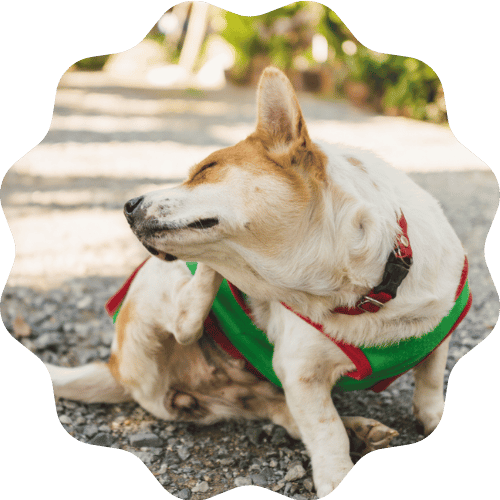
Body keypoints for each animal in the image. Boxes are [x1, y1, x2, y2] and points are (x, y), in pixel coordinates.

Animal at [45, 66, 470, 496]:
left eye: (206, 170)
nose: (128, 206)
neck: (365, 289)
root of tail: (115, 366)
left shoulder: (437, 332)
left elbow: (430, 381)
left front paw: (432, 418)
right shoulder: (300, 372)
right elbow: (327, 431)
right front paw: (336, 476)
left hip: (253, 391)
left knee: (282, 412)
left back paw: (361, 430)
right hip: (156, 288)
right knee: (186, 320)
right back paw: (211, 272)